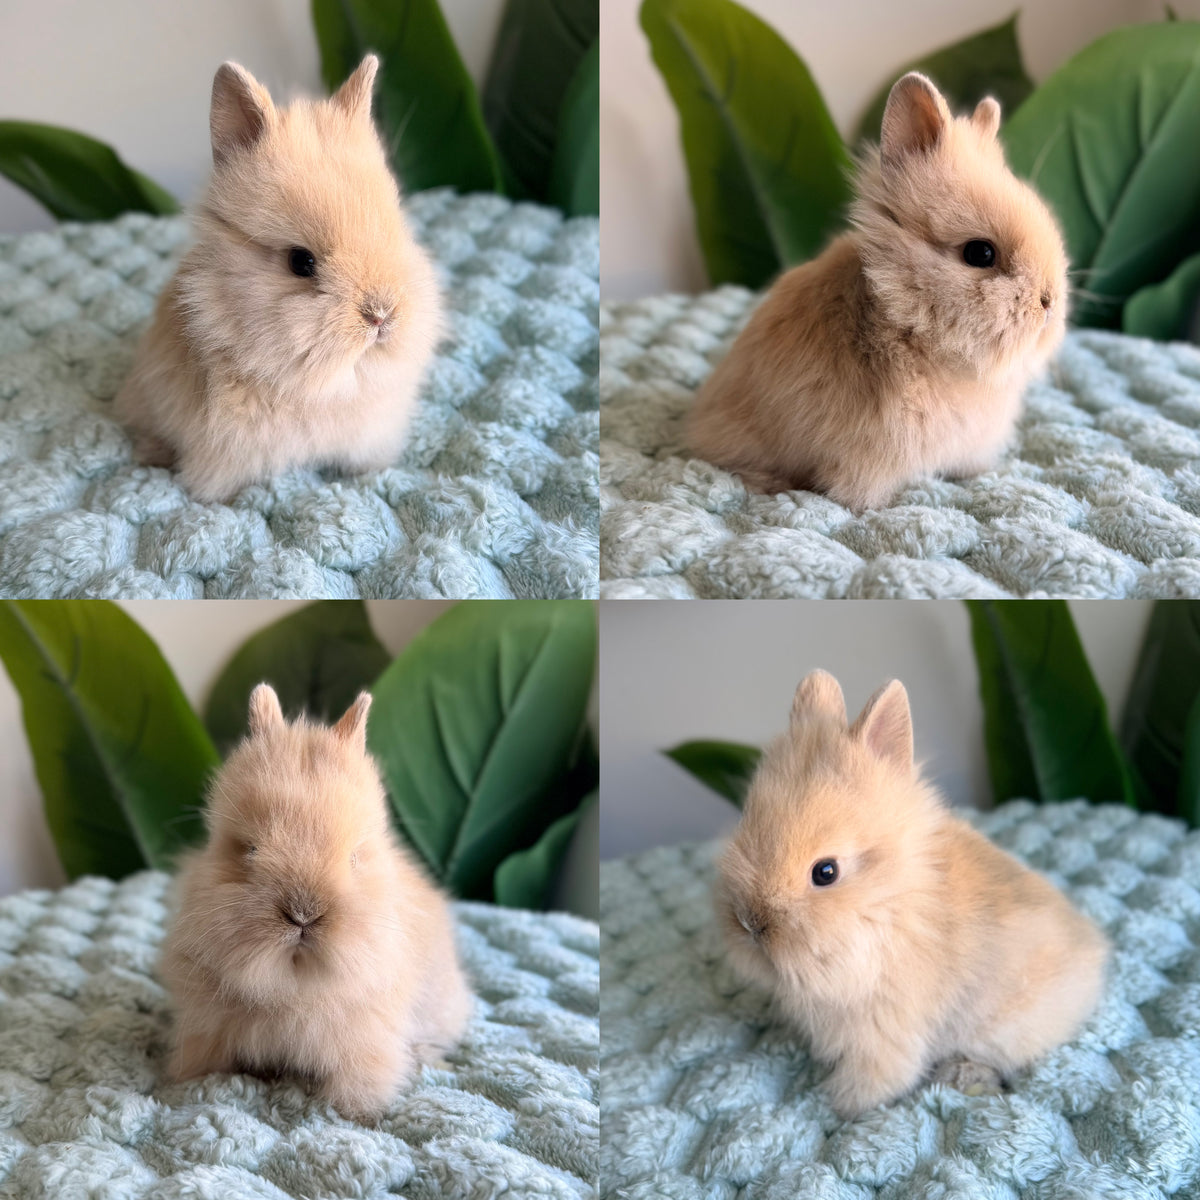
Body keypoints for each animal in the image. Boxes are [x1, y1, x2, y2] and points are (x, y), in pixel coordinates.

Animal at [160, 684, 472, 1122]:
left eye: (355, 857)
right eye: (249, 849)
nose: (303, 914)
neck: (295, 983)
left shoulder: (368, 1041)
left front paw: (359, 1115)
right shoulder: (205, 1024)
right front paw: (178, 1084)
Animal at [715, 670, 1108, 1120]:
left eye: (825, 872)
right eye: (745, 822)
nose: (749, 924)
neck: (887, 905)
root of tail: (1093, 956)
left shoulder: (882, 1032)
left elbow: (875, 1083)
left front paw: (837, 1110)